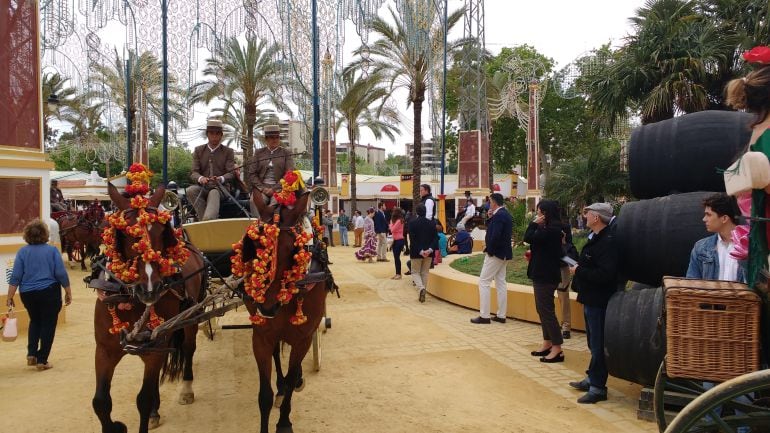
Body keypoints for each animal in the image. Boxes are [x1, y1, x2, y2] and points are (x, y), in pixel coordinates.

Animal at [91, 183, 206, 432]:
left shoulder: (156, 346)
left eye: (163, 232)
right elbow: (101, 402)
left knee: (189, 348)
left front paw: (147, 409)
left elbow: (142, 399)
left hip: (191, 317)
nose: (150, 289)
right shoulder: (104, 349)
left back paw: (186, 388)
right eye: (125, 234)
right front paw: (116, 426)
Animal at [243, 191, 332, 430]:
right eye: (253, 246)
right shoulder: (261, 337)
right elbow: (264, 396)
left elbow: (293, 378)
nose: (267, 306)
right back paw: (280, 386)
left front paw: (284, 422)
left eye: (292, 250)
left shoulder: (303, 338)